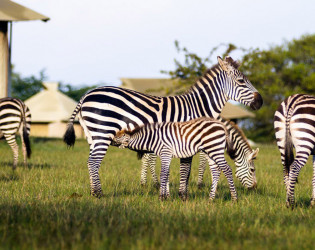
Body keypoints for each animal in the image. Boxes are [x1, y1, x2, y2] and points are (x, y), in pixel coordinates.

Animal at [64, 56, 264, 197]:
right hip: (103, 132)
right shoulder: (191, 139)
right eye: (241, 82)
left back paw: (93, 191)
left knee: (90, 162)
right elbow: (187, 168)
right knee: (93, 162)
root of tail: (87, 94)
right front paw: (183, 194)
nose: (260, 101)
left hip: (92, 135)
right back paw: (98, 194)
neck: (199, 107)